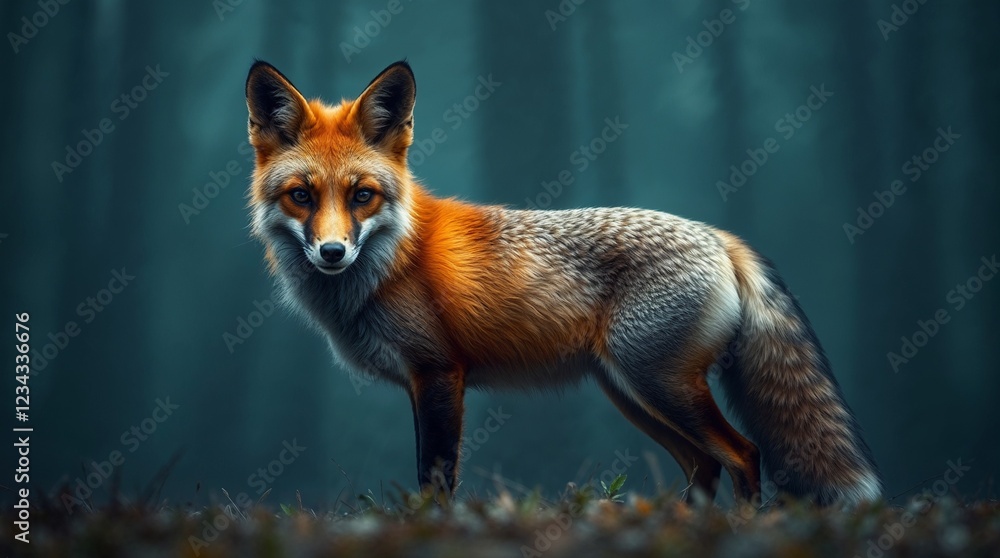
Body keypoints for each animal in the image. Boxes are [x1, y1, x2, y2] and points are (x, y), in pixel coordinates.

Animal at [244, 60, 882, 506]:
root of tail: (720, 236)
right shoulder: (419, 384)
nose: (332, 252)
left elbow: (436, 478)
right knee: (707, 465)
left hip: (660, 385)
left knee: (744, 455)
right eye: (301, 196)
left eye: (362, 196)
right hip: (632, 392)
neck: (394, 259)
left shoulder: (439, 374)